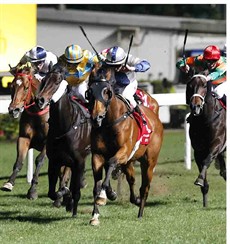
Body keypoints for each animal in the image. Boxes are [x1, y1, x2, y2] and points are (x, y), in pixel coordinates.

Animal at [0, 62, 49, 199]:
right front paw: (9, 183)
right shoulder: (24, 137)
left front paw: (32, 190)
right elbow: (19, 161)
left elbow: (39, 160)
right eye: (11, 86)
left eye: (26, 87)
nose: (13, 110)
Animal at [86, 64, 164, 225]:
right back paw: (134, 199)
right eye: (90, 92)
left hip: (149, 162)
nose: (97, 117)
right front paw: (95, 215)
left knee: (145, 187)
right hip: (129, 162)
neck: (109, 123)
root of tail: (155, 117)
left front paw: (103, 196)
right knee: (132, 180)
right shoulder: (97, 155)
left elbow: (110, 163)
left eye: (107, 91)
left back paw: (140, 212)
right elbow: (97, 185)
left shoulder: (124, 151)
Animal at [186, 71, 226, 207]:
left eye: (204, 85)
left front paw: (199, 179)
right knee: (224, 172)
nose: (195, 106)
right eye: (190, 86)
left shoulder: (217, 144)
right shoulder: (198, 150)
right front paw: (205, 203)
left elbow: (206, 161)